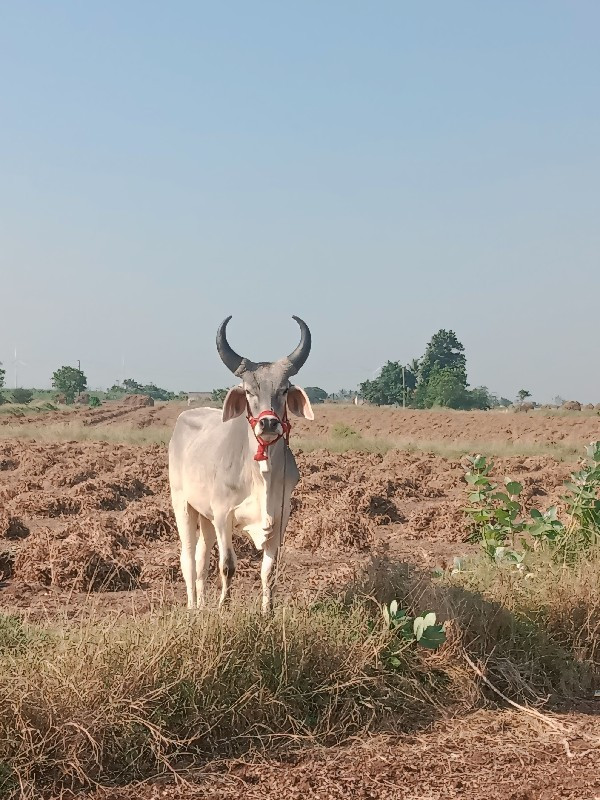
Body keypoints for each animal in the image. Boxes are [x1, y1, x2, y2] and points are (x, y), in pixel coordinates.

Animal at [166, 314, 312, 612]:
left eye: (284, 389)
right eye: (248, 391)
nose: (268, 423)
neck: (260, 474)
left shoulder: (280, 518)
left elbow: (269, 569)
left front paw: (267, 611)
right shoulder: (223, 515)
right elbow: (227, 566)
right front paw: (224, 607)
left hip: (205, 516)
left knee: (201, 559)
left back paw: (201, 606)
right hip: (182, 504)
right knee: (188, 557)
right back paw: (192, 606)